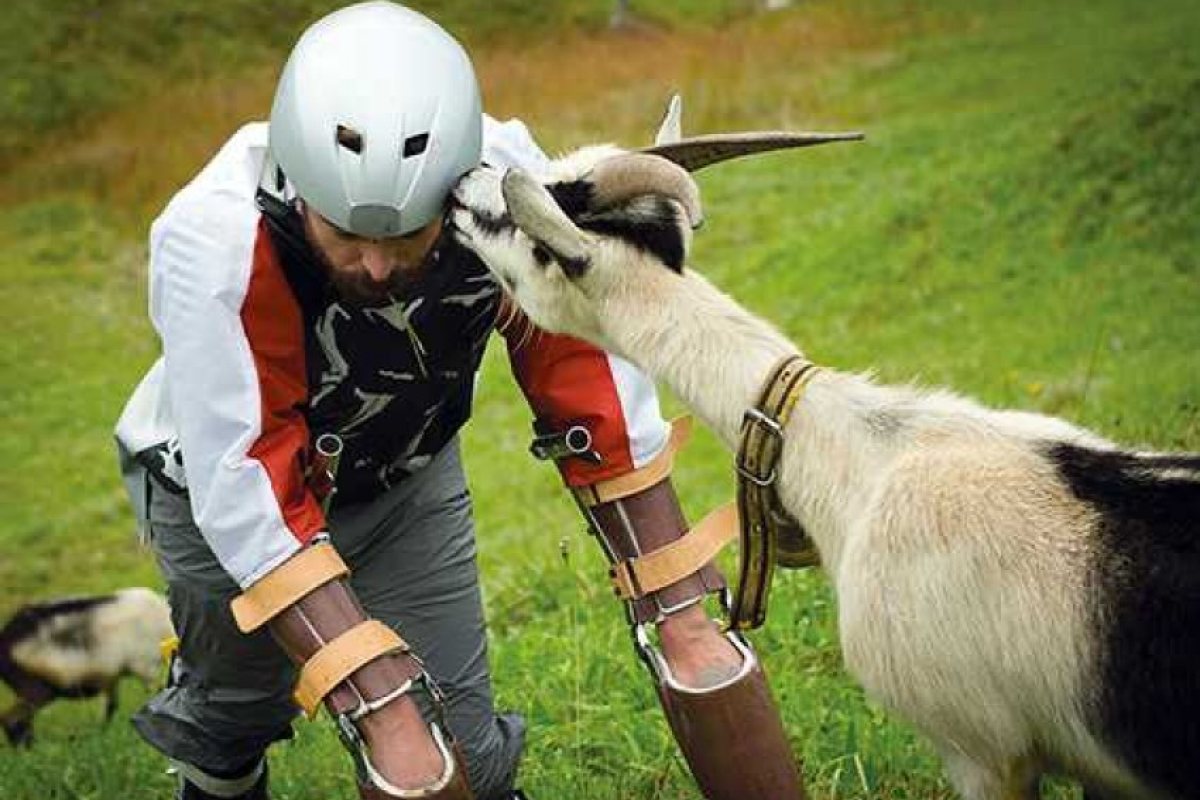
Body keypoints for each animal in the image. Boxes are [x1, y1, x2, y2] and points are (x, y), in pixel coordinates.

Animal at [0, 587, 173, 746]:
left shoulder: (111, 678)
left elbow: (112, 706)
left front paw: (102, 734)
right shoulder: (145, 668)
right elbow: (158, 694)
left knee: (19, 719)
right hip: (38, 688)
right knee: (12, 719)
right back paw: (27, 748)